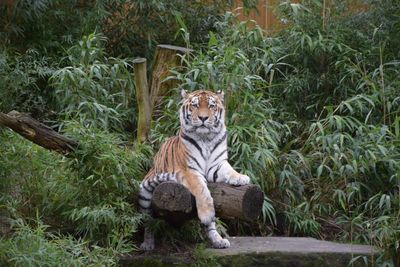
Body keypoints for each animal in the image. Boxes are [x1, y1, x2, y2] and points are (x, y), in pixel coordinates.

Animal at [138, 90, 250, 251]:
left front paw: (240, 177)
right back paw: (147, 244)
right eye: (195, 105)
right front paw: (207, 214)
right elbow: (202, 189)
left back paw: (218, 241)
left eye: (211, 106)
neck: (206, 138)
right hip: (144, 195)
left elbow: (229, 170)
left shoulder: (217, 165)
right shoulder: (189, 170)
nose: (203, 117)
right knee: (148, 221)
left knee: (210, 227)